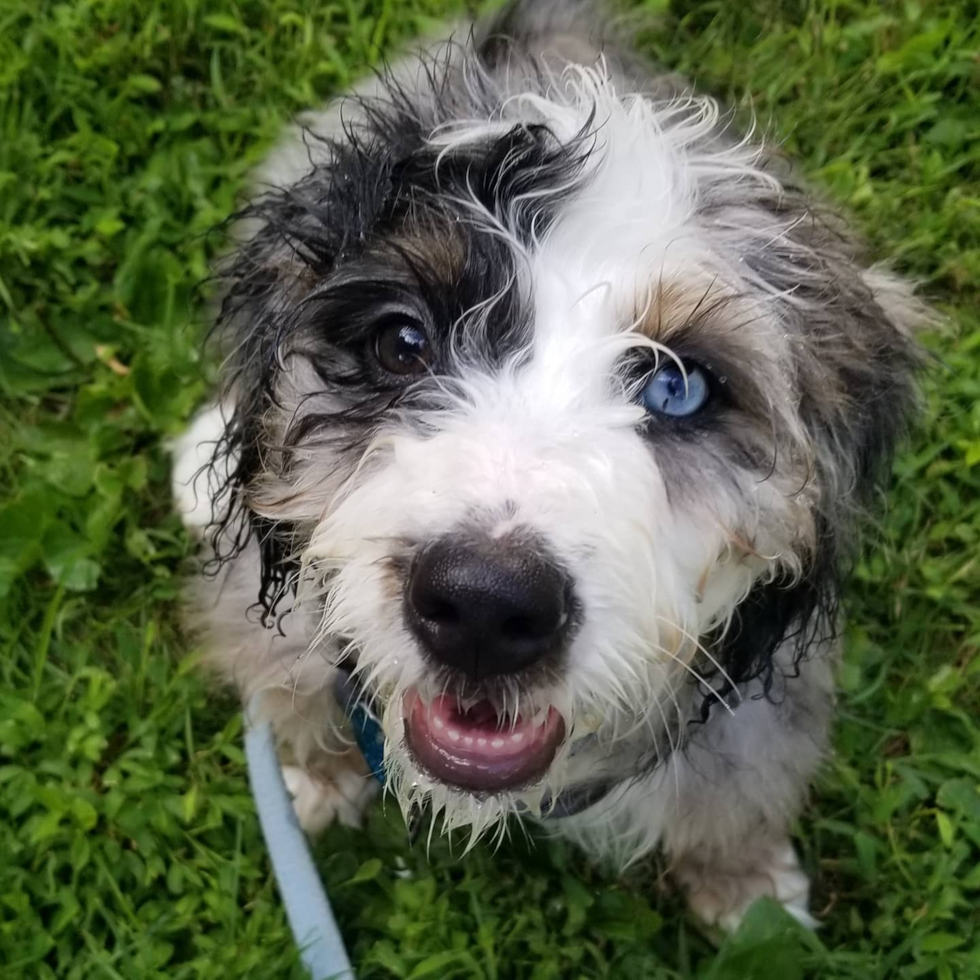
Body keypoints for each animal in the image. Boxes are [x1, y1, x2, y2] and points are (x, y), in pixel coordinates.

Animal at [172, 1, 924, 936]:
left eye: (678, 387)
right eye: (401, 343)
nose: (484, 608)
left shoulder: (752, 714)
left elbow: (732, 805)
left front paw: (749, 895)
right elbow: (291, 692)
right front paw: (320, 776)